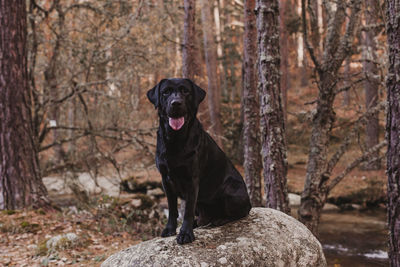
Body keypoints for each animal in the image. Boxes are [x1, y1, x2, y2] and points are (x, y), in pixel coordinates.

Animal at [147, 78, 250, 245]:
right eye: (166, 92)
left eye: (185, 91)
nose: (176, 103)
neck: (175, 140)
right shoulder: (166, 181)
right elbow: (173, 209)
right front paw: (170, 229)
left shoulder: (192, 180)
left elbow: (187, 211)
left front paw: (185, 234)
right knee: (202, 217)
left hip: (232, 190)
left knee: (241, 213)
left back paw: (220, 220)